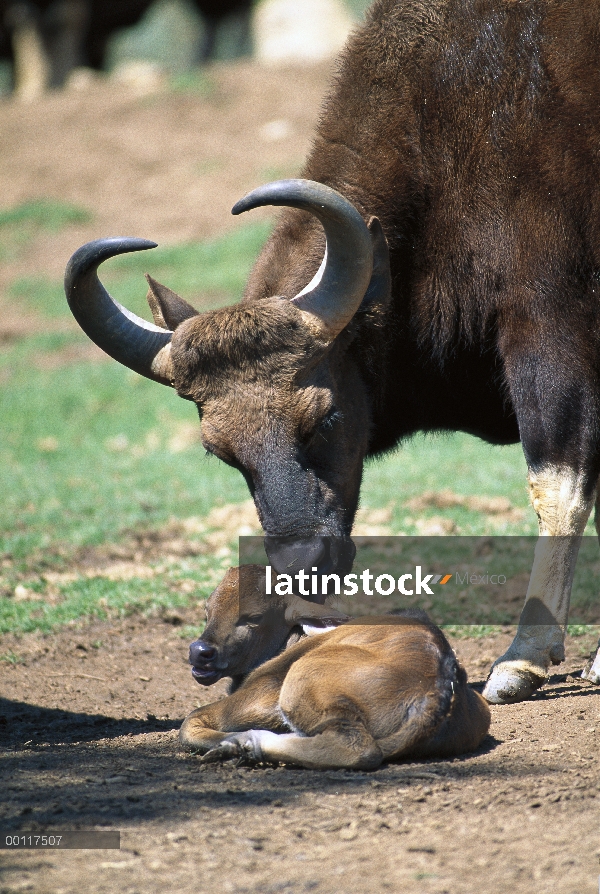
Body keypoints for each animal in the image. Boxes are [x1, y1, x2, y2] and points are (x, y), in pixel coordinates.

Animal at [180, 576, 490, 768]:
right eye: (208, 609)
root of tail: (440, 685)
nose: (200, 651)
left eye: (254, 617)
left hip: (305, 679)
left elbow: (189, 723)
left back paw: (244, 743)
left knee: (357, 748)